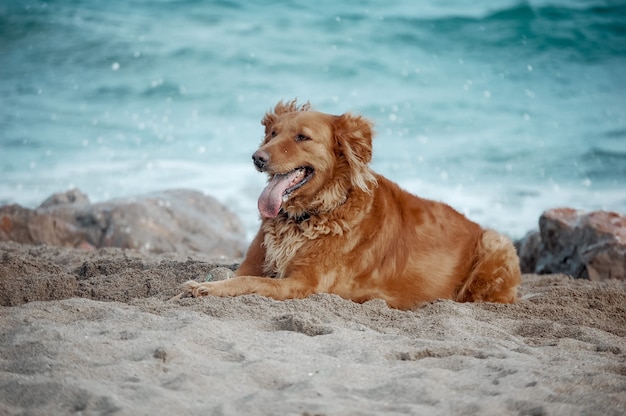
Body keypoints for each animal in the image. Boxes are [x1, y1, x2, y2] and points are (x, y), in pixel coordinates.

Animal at [182, 100, 520, 308]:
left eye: (302, 137)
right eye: (273, 133)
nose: (257, 157)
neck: (308, 215)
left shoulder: (301, 284)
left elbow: (247, 283)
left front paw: (206, 288)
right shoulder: (254, 262)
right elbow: (235, 275)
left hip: (495, 242)